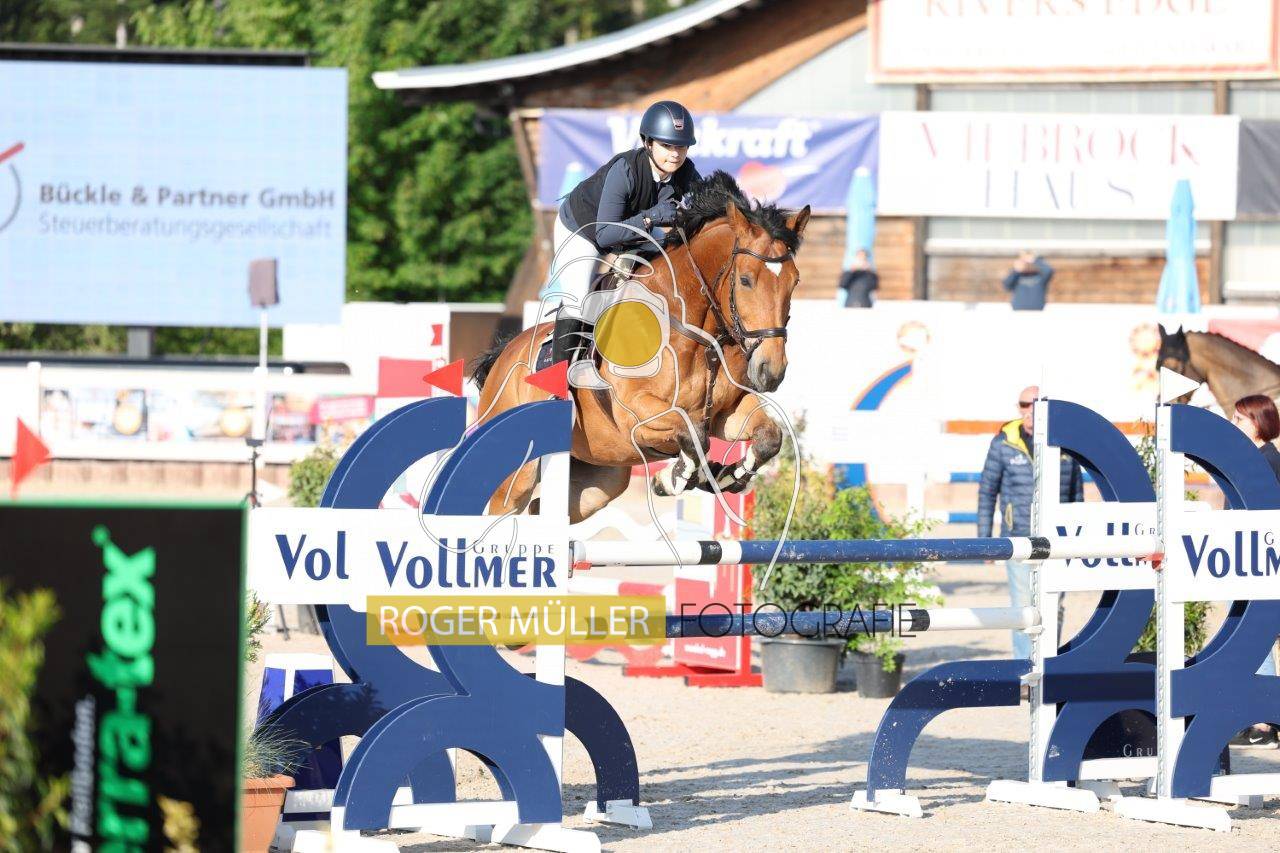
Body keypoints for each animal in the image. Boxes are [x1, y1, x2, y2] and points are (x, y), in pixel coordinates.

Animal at [470, 171, 810, 523]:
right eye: (745, 280)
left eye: (794, 281)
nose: (772, 371)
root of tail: (503, 357)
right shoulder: (637, 415)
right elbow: (693, 435)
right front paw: (674, 478)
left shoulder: (725, 413)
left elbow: (769, 436)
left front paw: (723, 476)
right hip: (516, 478)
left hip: (600, 479)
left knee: (543, 510)